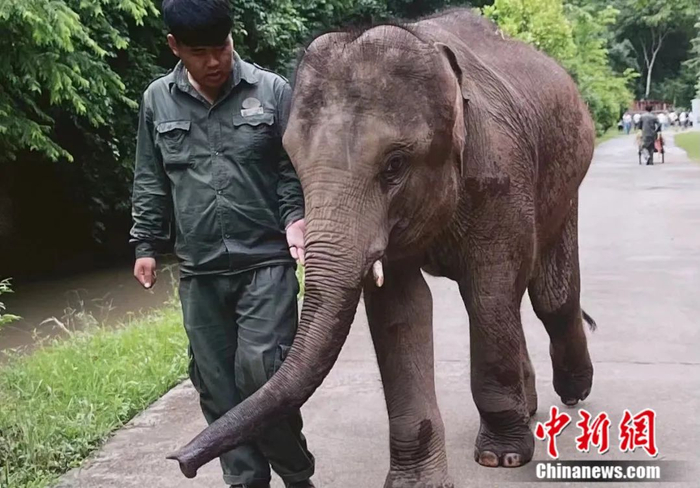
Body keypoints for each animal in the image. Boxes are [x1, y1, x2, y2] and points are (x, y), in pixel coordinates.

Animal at [169, 8, 597, 487]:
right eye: (292, 161)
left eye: (395, 165)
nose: (180, 462)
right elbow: (401, 309)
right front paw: (416, 481)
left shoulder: (500, 175)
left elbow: (488, 291)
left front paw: (500, 457)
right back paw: (532, 407)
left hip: (565, 179)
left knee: (549, 298)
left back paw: (573, 391)